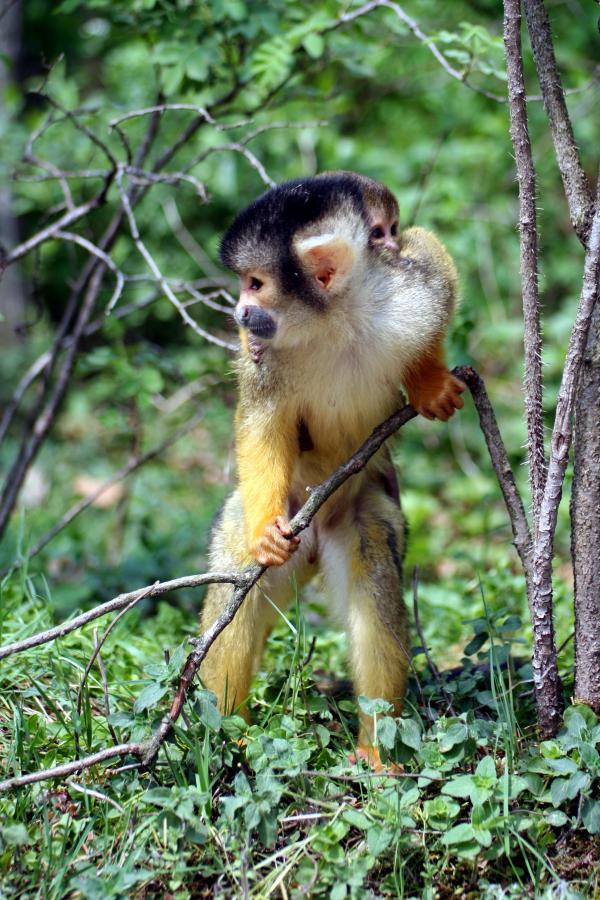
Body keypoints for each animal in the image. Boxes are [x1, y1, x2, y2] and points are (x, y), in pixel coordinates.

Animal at [199, 172, 465, 766]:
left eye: (255, 284)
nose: (238, 312)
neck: (333, 322)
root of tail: (315, 539)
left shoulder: (410, 290)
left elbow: (434, 262)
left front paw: (429, 380)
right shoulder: (266, 353)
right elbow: (261, 424)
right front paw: (264, 533)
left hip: (358, 514)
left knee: (374, 580)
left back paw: (375, 749)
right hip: (291, 523)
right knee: (237, 583)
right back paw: (225, 731)